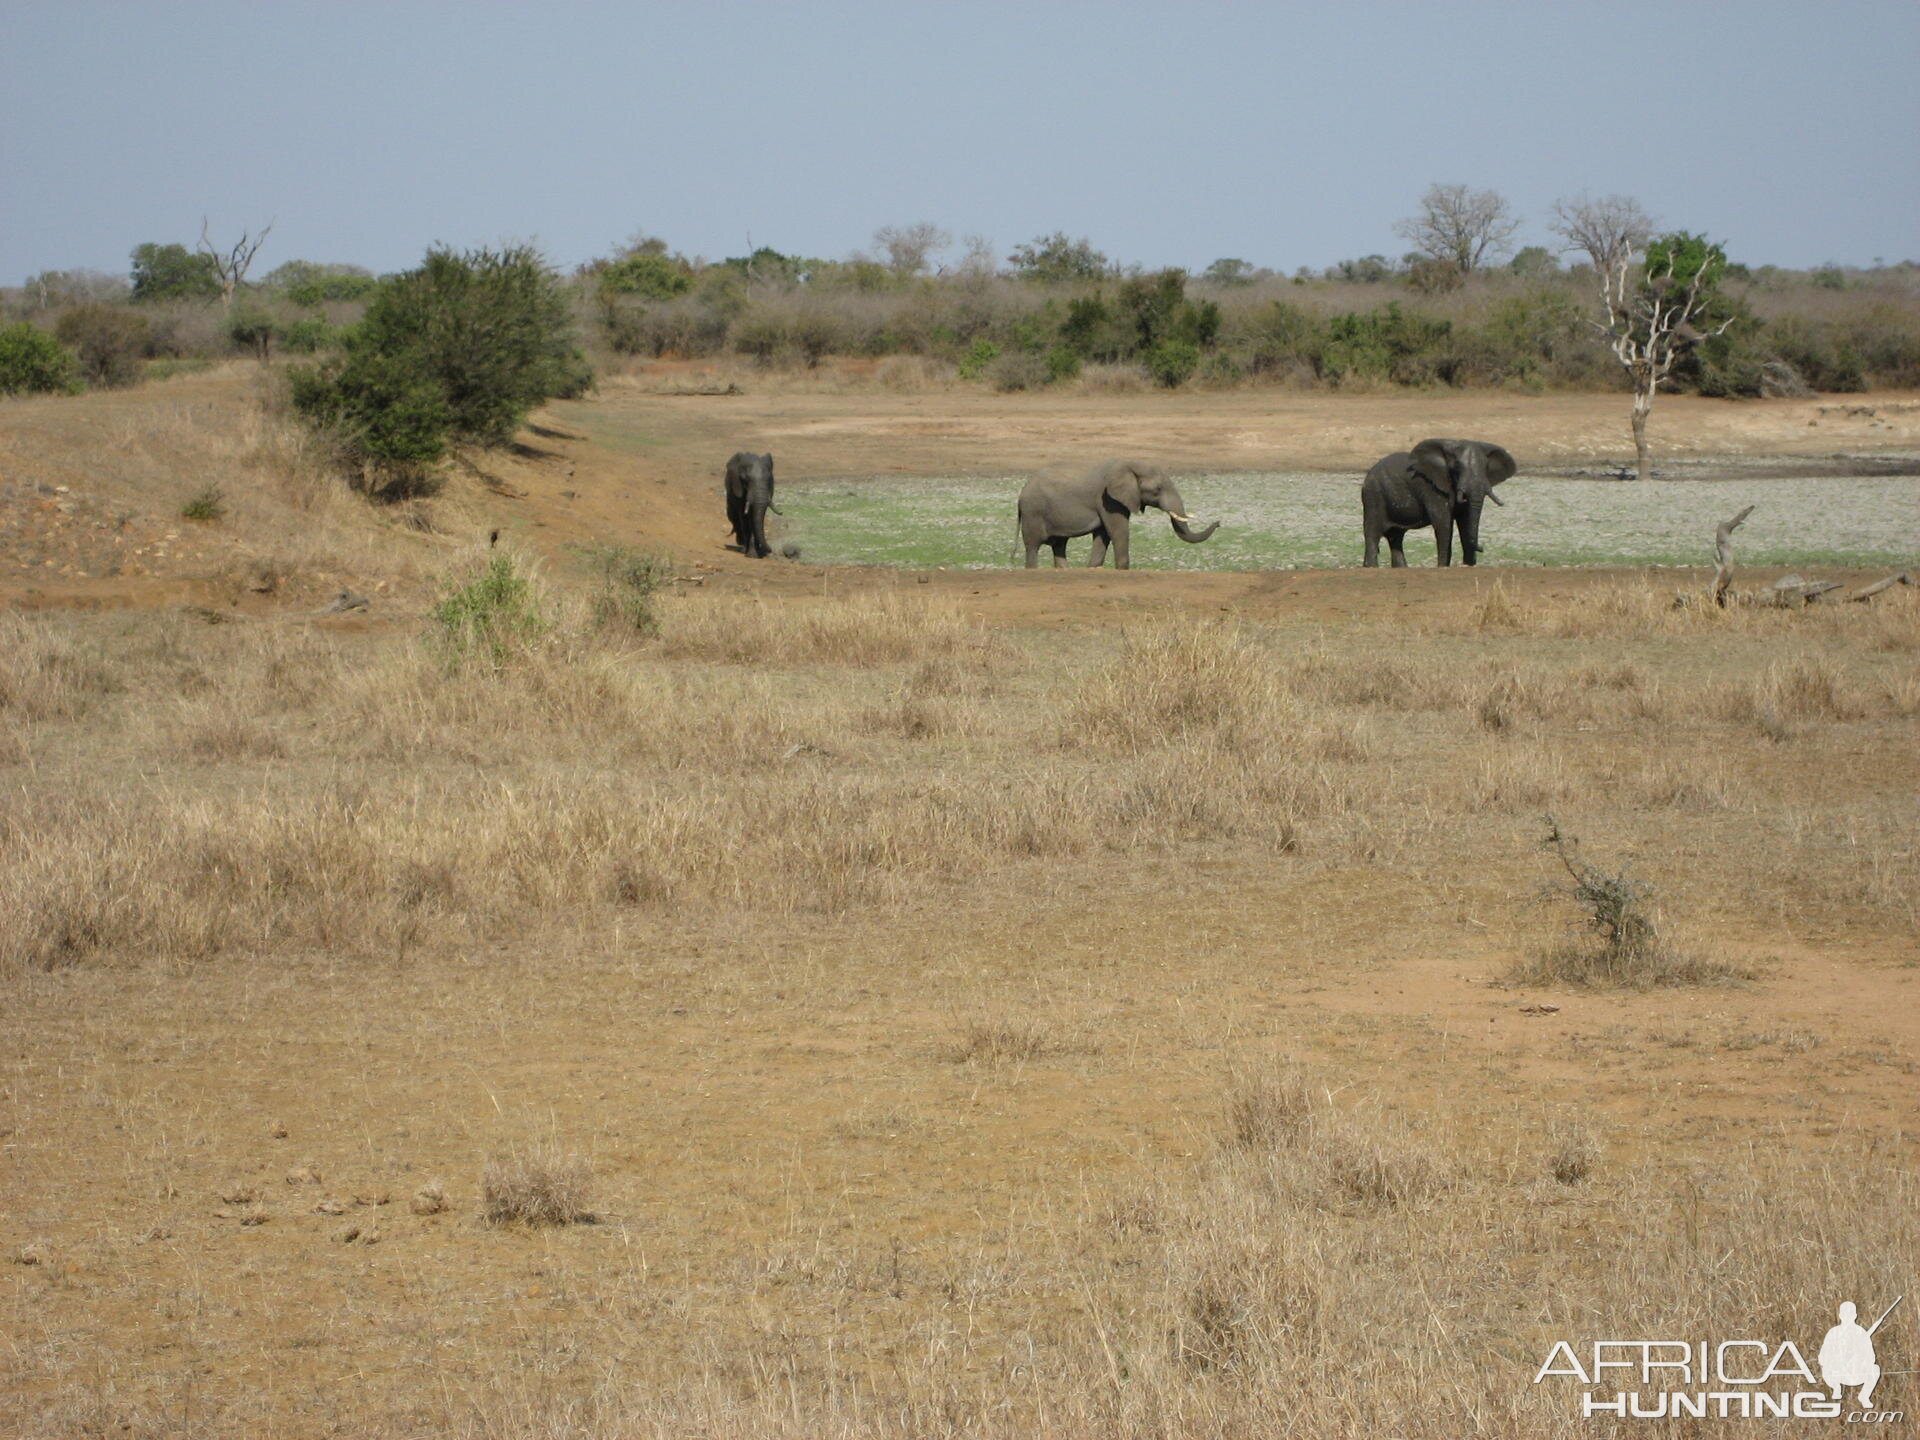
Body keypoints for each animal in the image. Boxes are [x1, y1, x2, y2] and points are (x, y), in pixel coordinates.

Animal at [1013, 464, 1221, 572]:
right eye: (1157, 490)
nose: (1218, 522)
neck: (1132, 466)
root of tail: (1021, 493)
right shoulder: (1109, 500)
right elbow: (1118, 532)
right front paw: (1122, 570)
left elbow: (1103, 535)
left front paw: (1093, 568)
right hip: (1033, 512)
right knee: (1033, 546)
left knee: (1059, 545)